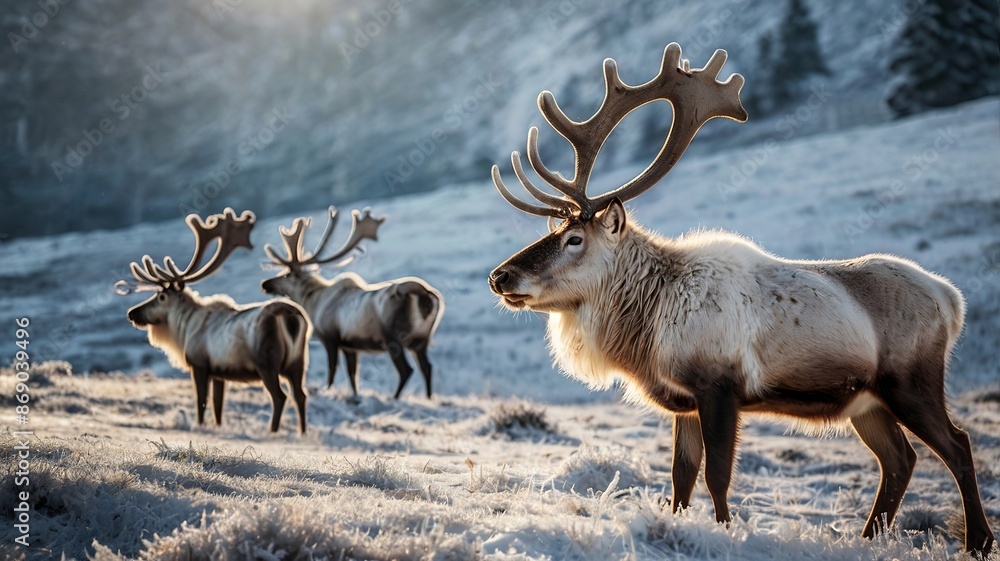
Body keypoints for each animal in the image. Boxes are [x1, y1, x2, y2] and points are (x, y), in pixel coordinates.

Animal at [124, 208, 311, 434]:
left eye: (161, 296)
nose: (132, 313)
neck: (184, 330)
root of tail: (291, 317)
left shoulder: (199, 364)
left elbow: (201, 401)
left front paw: (199, 425)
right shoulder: (219, 372)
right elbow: (218, 405)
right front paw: (217, 426)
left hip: (267, 362)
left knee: (280, 397)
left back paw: (272, 431)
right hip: (298, 362)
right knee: (301, 395)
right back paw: (302, 432)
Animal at [261, 207, 444, 400]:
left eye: (286, 274)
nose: (265, 284)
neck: (313, 303)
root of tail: (423, 294)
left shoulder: (330, 336)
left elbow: (332, 369)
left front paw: (327, 390)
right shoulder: (350, 345)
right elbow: (352, 374)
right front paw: (355, 394)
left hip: (394, 338)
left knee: (406, 370)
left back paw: (394, 398)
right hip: (422, 339)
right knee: (427, 367)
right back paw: (429, 397)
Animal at [487, 43, 995, 553]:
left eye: (574, 238)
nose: (500, 275)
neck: (648, 325)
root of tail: (951, 300)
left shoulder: (720, 386)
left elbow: (717, 476)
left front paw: (727, 532)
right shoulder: (685, 399)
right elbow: (681, 477)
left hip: (911, 382)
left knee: (958, 445)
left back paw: (977, 541)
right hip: (866, 401)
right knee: (899, 459)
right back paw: (869, 538)